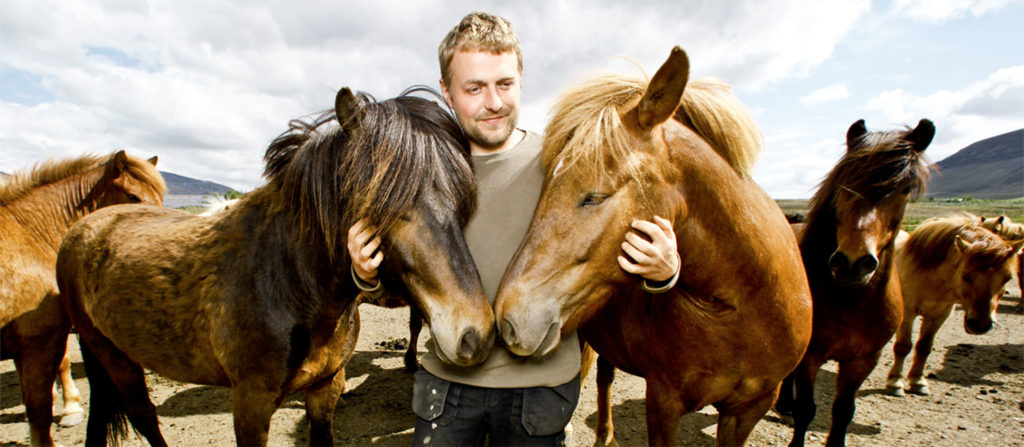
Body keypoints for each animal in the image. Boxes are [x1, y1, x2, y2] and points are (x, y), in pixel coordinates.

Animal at [56, 87, 495, 445]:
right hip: (113, 357)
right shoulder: (250, 403)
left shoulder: (325, 388)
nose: (475, 335)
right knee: (144, 417)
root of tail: (84, 227)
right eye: (382, 202)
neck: (288, 283)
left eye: (462, 200)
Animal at [774, 116, 937, 443]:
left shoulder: (864, 360)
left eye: (904, 189)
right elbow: (806, 409)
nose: (852, 263)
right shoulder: (812, 355)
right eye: (844, 183)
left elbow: (843, 412)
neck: (852, 302)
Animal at [888, 214, 1024, 392]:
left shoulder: (940, 315)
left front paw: (918, 381)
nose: (981, 325)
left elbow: (924, 346)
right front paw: (895, 382)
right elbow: (902, 346)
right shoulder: (908, 312)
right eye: (966, 275)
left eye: (1007, 278)